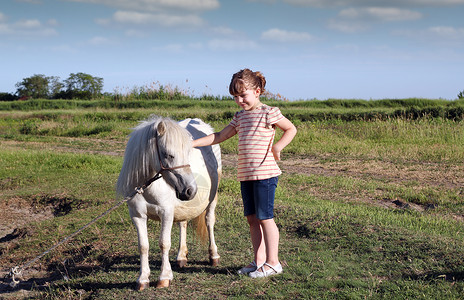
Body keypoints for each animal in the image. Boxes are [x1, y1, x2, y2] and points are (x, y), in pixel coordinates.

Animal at [118, 116, 223, 290]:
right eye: (169, 155)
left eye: (187, 153)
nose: (190, 190)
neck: (147, 187)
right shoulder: (137, 216)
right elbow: (143, 245)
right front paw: (143, 278)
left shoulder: (166, 213)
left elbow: (164, 243)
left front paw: (164, 277)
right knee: (183, 224)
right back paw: (181, 256)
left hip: (212, 199)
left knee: (209, 221)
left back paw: (213, 255)